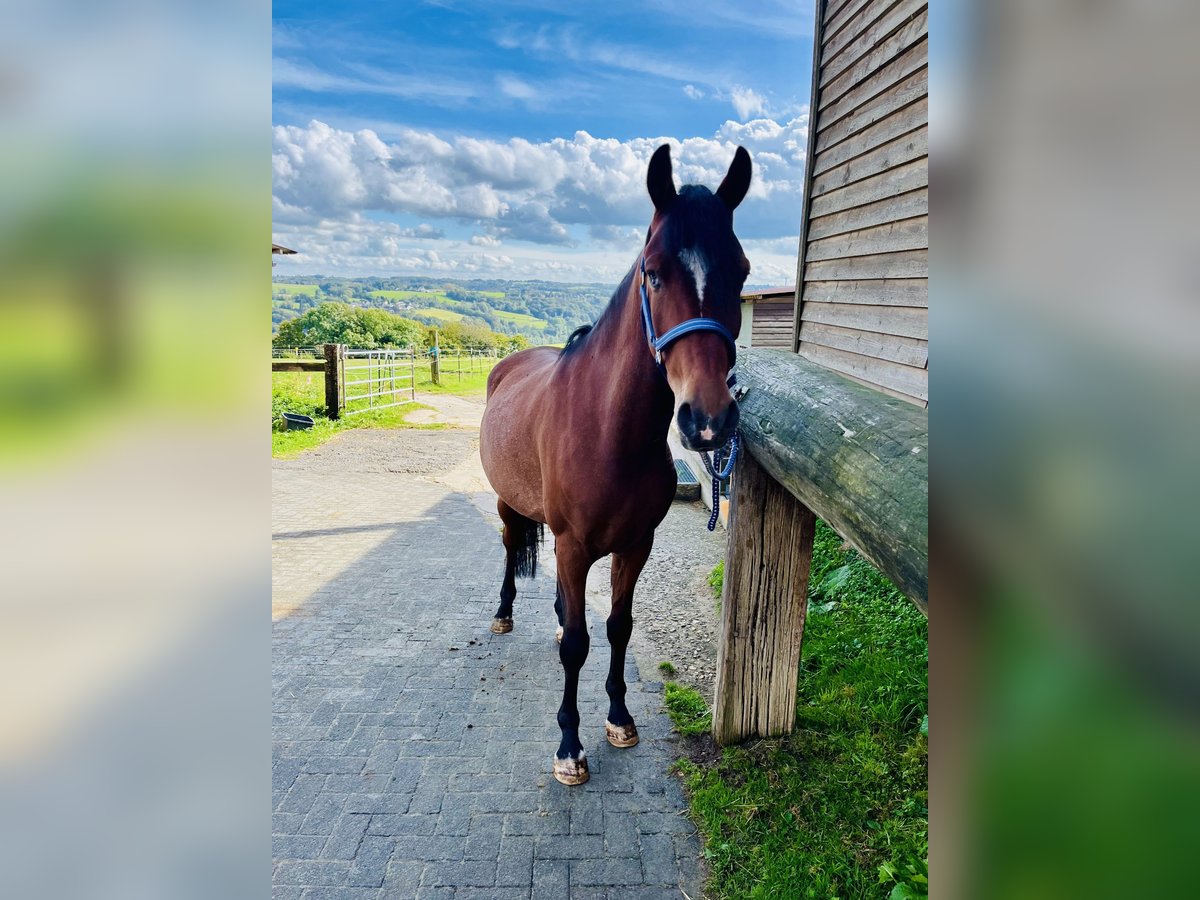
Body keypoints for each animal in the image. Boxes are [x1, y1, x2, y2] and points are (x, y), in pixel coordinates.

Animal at [477, 144, 748, 787]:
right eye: (654, 272)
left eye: (743, 271)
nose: (708, 419)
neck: (607, 434)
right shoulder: (575, 547)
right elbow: (577, 645)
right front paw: (569, 745)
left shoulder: (634, 546)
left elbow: (616, 627)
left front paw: (620, 718)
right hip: (507, 505)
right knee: (509, 547)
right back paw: (503, 614)